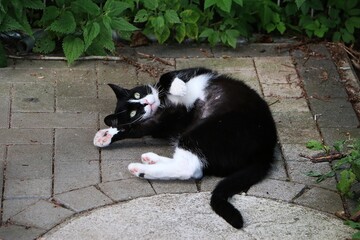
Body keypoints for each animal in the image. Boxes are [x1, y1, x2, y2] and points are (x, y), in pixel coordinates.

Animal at [94, 67, 278, 229]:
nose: (147, 102)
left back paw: (147, 163)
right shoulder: (165, 122)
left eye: (138, 94)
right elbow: (136, 129)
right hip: (202, 133)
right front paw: (106, 135)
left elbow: (166, 75)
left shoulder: (198, 73)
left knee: (192, 166)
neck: (163, 103)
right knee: (190, 169)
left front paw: (178, 87)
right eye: (133, 113)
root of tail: (266, 150)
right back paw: (142, 167)